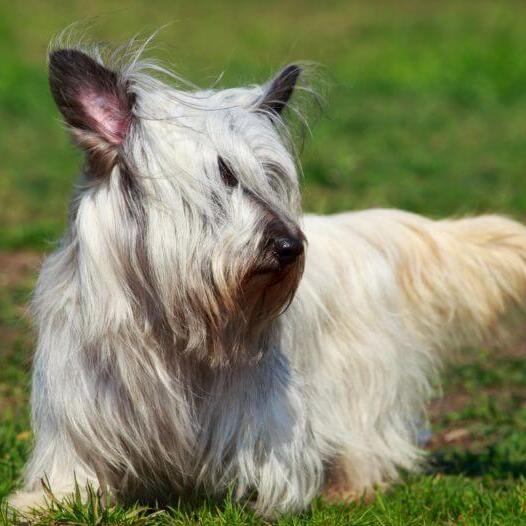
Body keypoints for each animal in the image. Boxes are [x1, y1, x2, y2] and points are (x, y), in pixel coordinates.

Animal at [8, 41, 526, 520]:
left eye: (271, 177)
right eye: (223, 175)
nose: (290, 246)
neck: (169, 322)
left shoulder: (260, 413)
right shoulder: (82, 407)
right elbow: (75, 469)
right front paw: (44, 502)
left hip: (360, 383)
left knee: (367, 443)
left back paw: (350, 487)